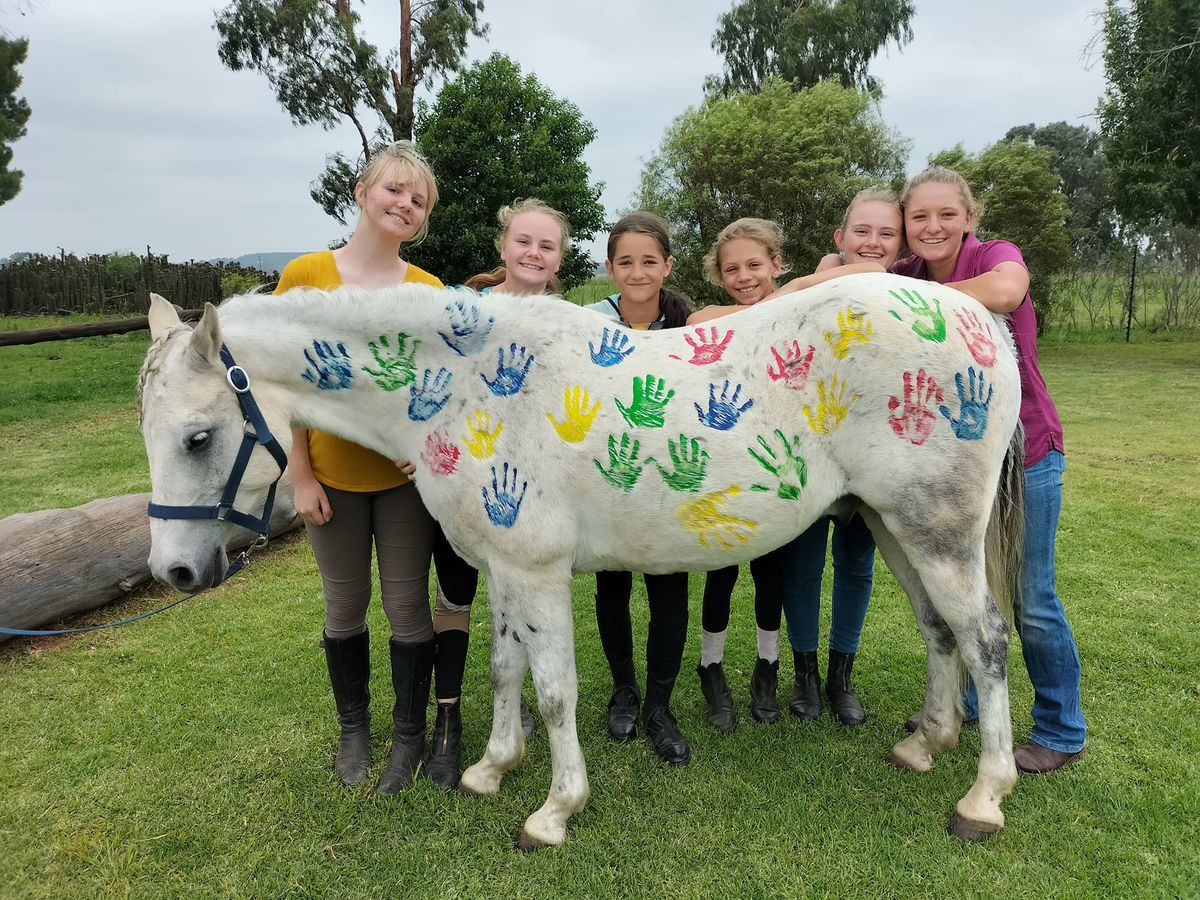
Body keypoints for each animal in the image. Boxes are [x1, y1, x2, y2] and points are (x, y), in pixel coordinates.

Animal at [138, 273, 1022, 844]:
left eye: (199, 438)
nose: (173, 573)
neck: (469, 386)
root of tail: (979, 321)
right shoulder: (502, 569)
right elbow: (504, 672)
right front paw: (491, 769)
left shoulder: (536, 572)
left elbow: (555, 691)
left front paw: (555, 811)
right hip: (892, 526)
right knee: (940, 633)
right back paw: (926, 744)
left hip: (936, 533)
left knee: (984, 640)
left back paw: (984, 796)